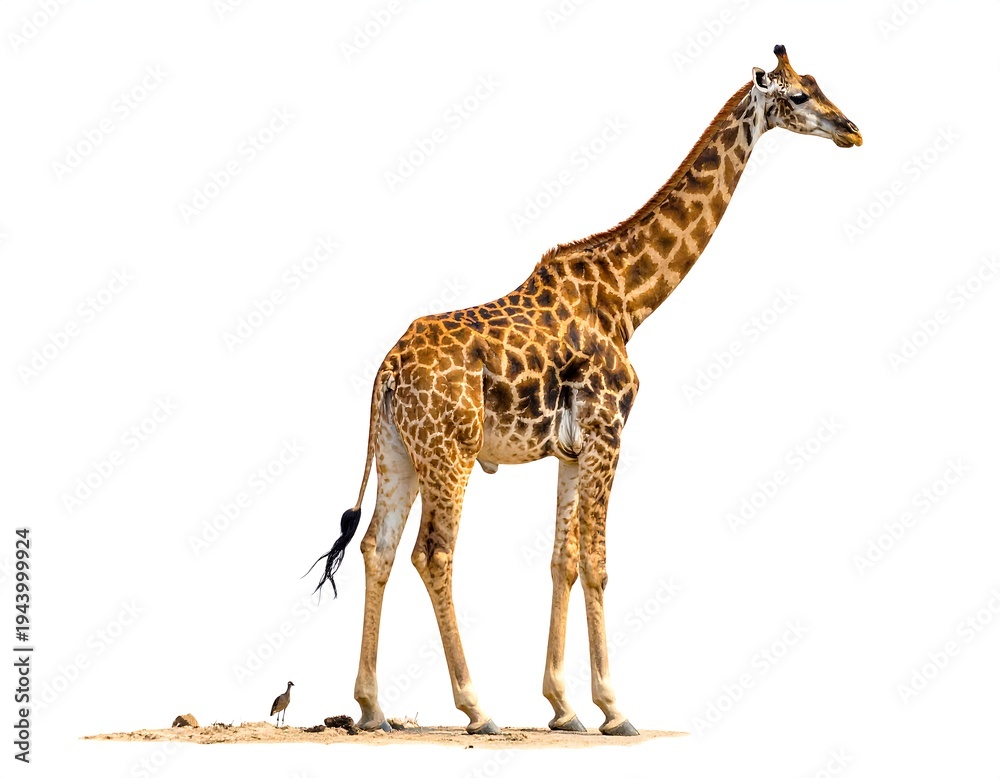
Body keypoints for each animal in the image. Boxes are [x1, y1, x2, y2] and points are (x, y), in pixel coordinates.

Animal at [311, 45, 861, 735]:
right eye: (797, 95)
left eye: (816, 83)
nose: (852, 130)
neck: (629, 299)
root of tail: (385, 370)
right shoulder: (608, 432)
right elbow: (598, 564)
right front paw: (614, 707)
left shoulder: (571, 451)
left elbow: (563, 562)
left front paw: (563, 706)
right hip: (449, 451)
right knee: (432, 554)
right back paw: (476, 707)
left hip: (398, 452)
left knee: (376, 549)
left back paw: (372, 707)